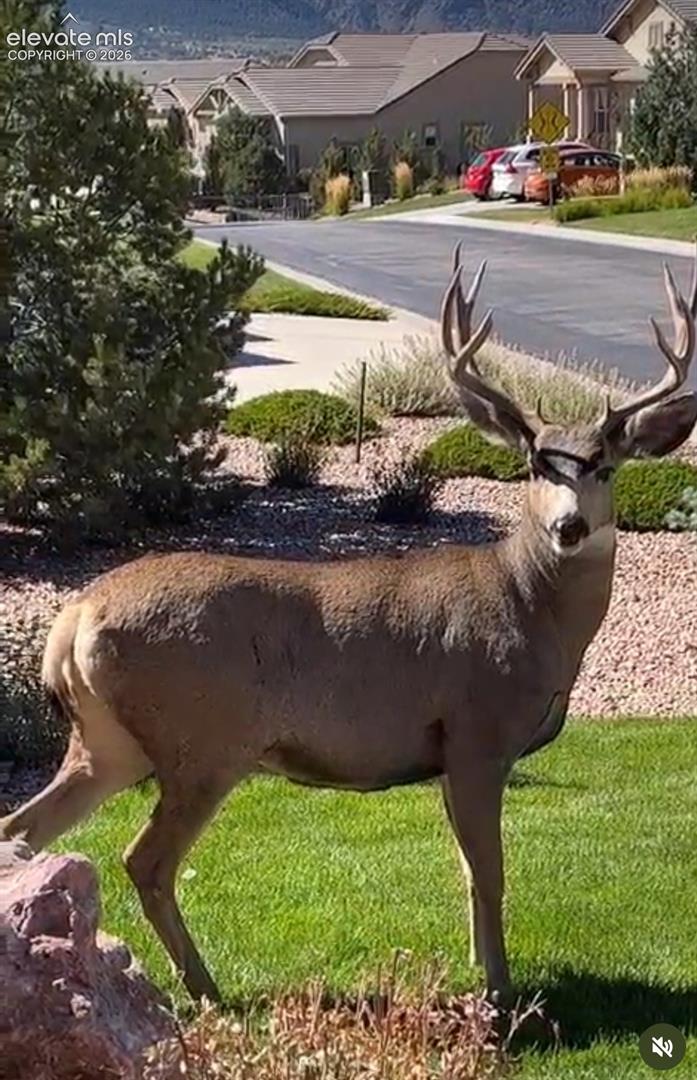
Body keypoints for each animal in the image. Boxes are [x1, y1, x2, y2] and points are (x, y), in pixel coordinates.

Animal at [2, 246, 695, 1006]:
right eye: (535, 466)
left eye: (605, 466)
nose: (568, 527)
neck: (529, 609)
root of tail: (72, 618)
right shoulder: (477, 732)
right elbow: (489, 873)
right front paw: (500, 993)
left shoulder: (448, 753)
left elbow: (465, 870)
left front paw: (481, 972)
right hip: (202, 739)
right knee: (144, 859)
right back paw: (205, 989)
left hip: (107, 740)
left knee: (21, 827)